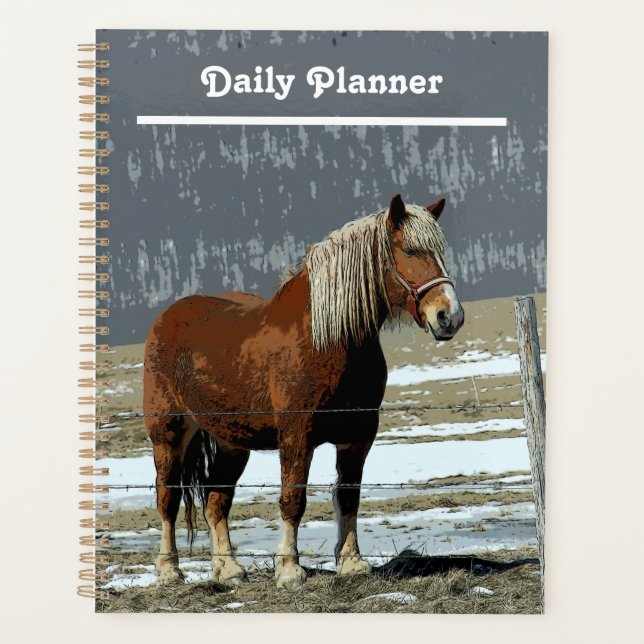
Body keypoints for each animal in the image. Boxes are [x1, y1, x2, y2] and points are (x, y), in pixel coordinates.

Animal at [143, 193, 464, 590]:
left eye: (441, 252)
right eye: (409, 249)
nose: (449, 316)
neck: (327, 340)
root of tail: (167, 317)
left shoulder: (358, 436)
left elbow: (349, 497)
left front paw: (351, 563)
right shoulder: (297, 436)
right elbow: (293, 499)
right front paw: (289, 570)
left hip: (232, 442)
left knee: (217, 500)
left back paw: (229, 569)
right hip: (168, 433)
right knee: (167, 498)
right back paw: (169, 570)